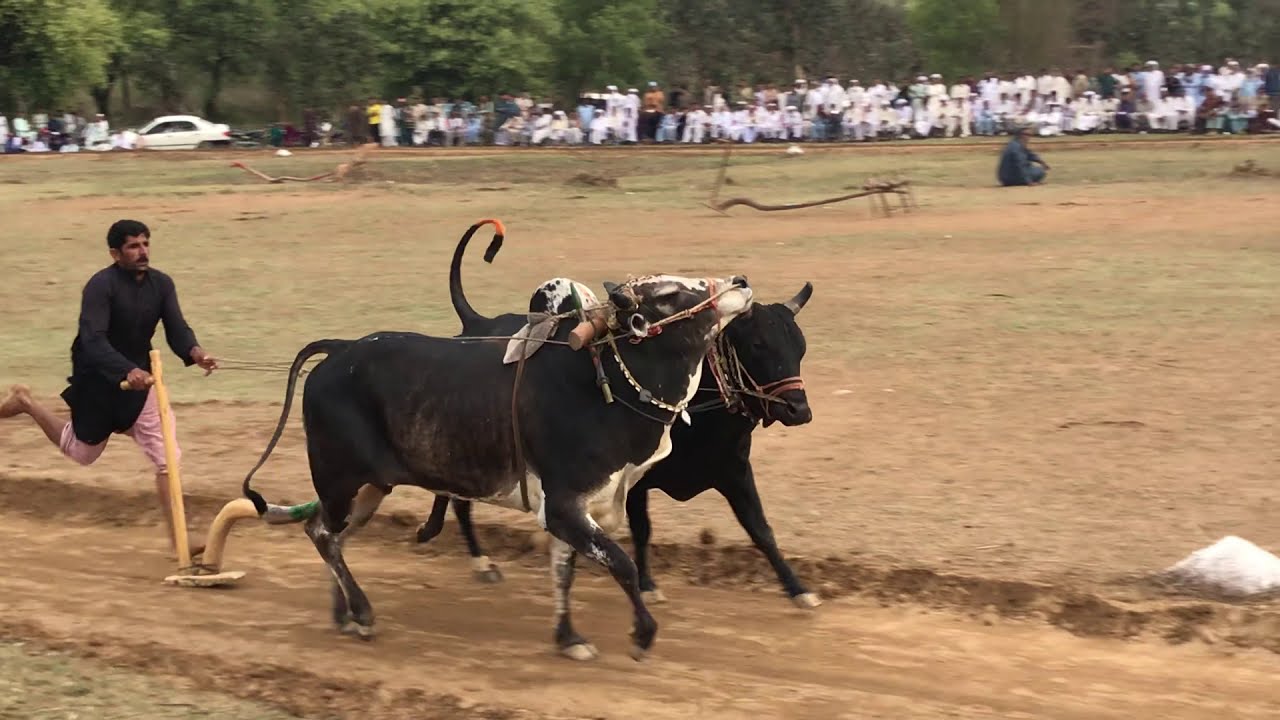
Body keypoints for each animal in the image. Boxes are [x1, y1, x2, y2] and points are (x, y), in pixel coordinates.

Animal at [240, 248, 755, 662]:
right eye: (667, 293)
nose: (740, 282)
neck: (607, 379)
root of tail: (341, 350)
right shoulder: (564, 505)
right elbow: (621, 564)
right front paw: (643, 635)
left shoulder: (576, 507)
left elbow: (564, 572)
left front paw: (569, 638)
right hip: (339, 481)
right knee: (322, 534)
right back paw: (362, 612)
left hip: (370, 487)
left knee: (333, 537)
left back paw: (344, 613)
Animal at [415, 220, 820, 609]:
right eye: (758, 344)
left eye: (800, 347)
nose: (798, 410)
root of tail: (476, 323)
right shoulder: (635, 479)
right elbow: (642, 530)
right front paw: (648, 585)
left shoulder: (734, 472)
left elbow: (761, 530)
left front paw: (799, 589)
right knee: (458, 499)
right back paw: (478, 559)